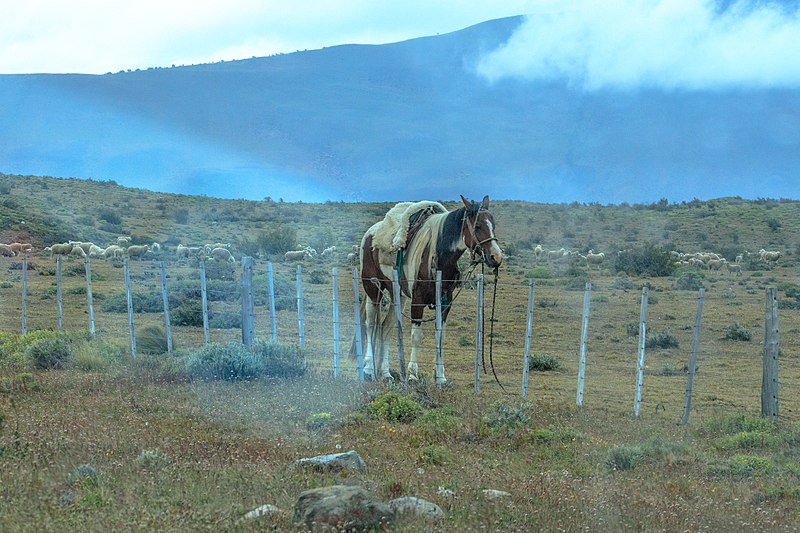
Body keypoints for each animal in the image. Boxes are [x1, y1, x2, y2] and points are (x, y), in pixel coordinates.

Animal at [354, 193, 500, 384]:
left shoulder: (445, 302)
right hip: (373, 289)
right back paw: (369, 369)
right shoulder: (417, 300)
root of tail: (370, 234)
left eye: (493, 225)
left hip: (397, 296)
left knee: (385, 328)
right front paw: (412, 374)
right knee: (370, 325)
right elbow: (416, 336)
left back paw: (385, 373)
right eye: (478, 226)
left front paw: (440, 376)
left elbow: (440, 336)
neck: (438, 256)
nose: (496, 257)